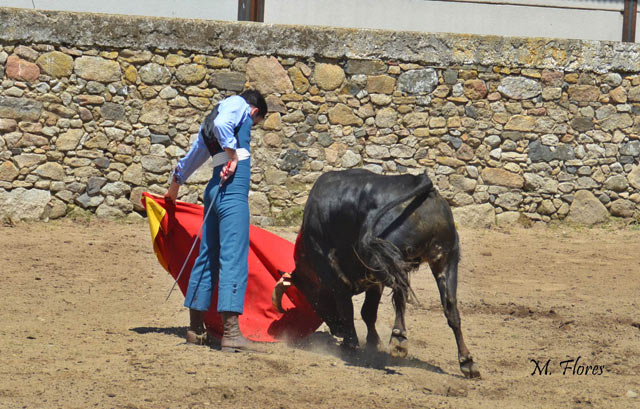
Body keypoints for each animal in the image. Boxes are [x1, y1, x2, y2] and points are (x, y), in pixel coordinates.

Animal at [272, 168, 478, 376]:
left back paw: (398, 339)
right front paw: (373, 342)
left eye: (311, 298)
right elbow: (368, 312)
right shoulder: (374, 280)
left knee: (400, 293)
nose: (337, 331)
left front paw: (350, 344)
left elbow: (348, 308)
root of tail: (418, 182)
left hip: (395, 255)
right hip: (445, 258)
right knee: (450, 307)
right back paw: (466, 361)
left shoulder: (333, 274)